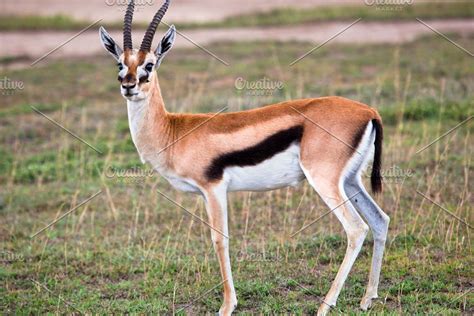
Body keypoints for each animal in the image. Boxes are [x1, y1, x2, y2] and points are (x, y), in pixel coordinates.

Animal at [99, 1, 388, 314]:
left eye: (149, 64)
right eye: (120, 63)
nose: (128, 85)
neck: (174, 130)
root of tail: (369, 111)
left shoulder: (213, 189)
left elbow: (219, 239)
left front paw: (227, 306)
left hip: (324, 180)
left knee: (356, 229)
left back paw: (325, 306)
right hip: (350, 181)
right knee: (379, 219)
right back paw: (368, 298)